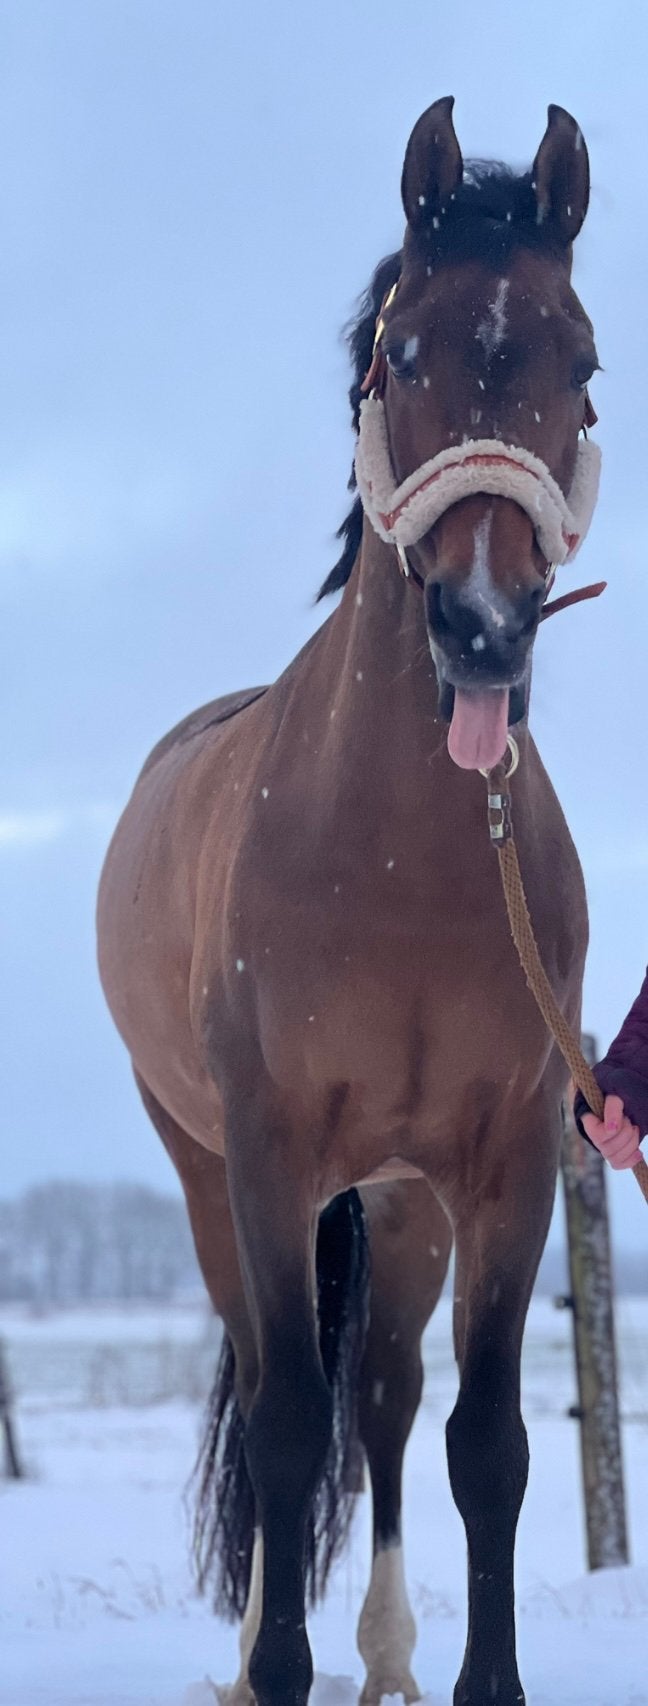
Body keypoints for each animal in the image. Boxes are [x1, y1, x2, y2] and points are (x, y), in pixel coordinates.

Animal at [97, 96, 599, 1706]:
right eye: (405, 355)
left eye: (582, 360)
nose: (486, 628)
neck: (402, 868)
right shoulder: (266, 1158)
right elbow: (279, 1426)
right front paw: (274, 1668)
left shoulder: (505, 1167)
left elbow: (484, 1442)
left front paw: (481, 1683)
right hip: (216, 1176)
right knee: (282, 1392)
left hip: (398, 1203)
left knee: (378, 1397)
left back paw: (381, 1656)